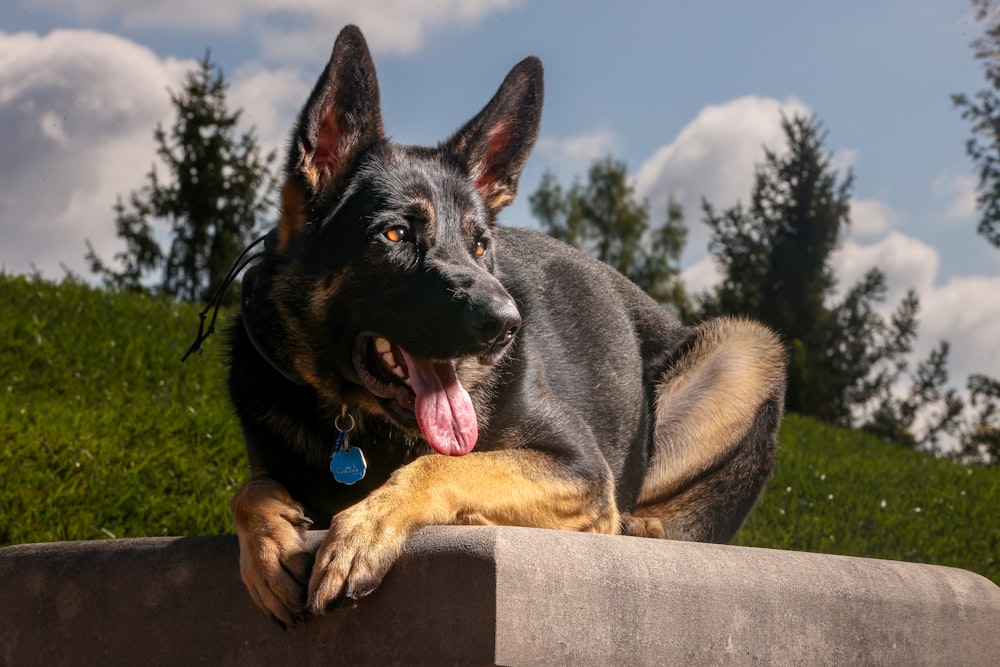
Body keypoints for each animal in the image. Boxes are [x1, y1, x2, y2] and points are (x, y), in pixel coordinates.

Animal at [229, 24, 788, 628]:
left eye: (479, 246)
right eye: (395, 235)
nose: (507, 325)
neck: (359, 421)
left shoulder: (578, 467)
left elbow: (442, 465)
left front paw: (364, 529)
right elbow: (248, 489)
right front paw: (268, 546)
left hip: (750, 347)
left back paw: (636, 524)